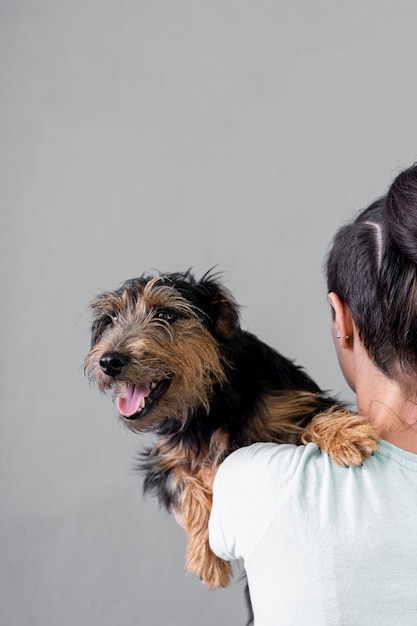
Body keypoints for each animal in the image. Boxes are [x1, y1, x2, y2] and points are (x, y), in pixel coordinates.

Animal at [83, 268, 376, 588]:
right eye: (110, 319)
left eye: (166, 314)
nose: (109, 360)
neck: (210, 404)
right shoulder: (165, 458)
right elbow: (184, 483)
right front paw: (206, 558)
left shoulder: (294, 402)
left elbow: (316, 416)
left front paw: (346, 436)